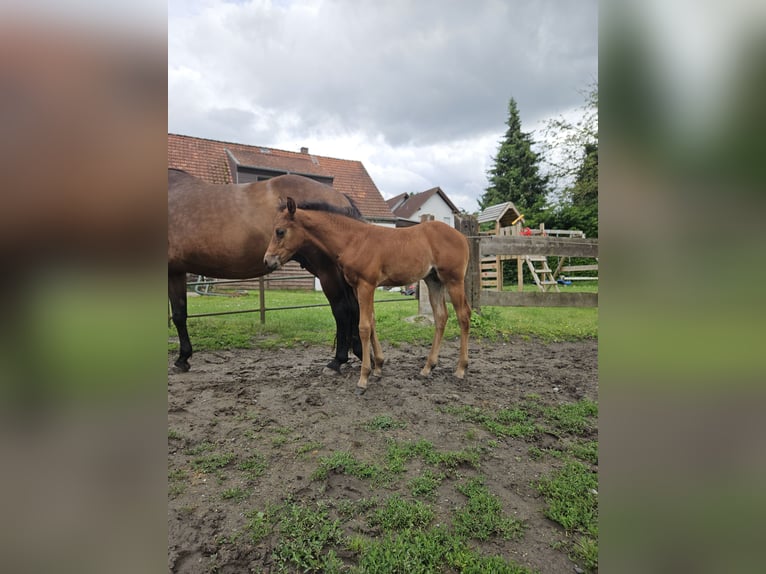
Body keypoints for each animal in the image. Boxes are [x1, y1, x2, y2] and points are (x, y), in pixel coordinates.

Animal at [168, 169, 362, 373]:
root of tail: (340, 197)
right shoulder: (176, 271)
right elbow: (180, 313)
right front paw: (183, 358)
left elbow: (177, 316)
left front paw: (181, 358)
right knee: (354, 307)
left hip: (327, 271)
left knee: (342, 309)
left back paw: (338, 360)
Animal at [264, 197, 471, 393]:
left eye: (280, 231)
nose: (268, 261)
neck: (353, 240)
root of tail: (462, 237)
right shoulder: (357, 287)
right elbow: (371, 322)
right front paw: (378, 366)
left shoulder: (366, 285)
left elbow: (363, 327)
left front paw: (364, 377)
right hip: (433, 280)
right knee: (441, 317)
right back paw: (428, 367)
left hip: (453, 280)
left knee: (463, 316)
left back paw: (461, 369)